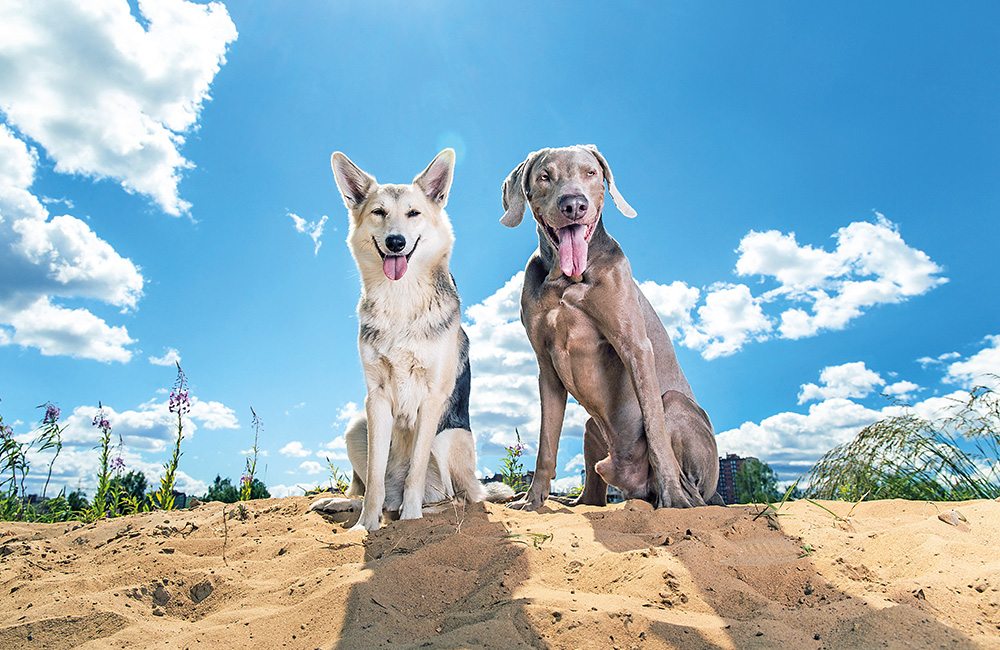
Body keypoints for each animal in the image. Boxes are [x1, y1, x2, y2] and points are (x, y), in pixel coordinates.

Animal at [498, 144, 720, 508]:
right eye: (545, 176)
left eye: (591, 173)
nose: (574, 204)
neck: (566, 279)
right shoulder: (546, 367)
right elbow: (546, 443)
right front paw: (532, 500)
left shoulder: (635, 347)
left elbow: (656, 433)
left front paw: (673, 499)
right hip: (591, 429)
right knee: (592, 495)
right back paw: (566, 501)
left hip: (675, 405)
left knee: (691, 486)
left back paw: (677, 498)